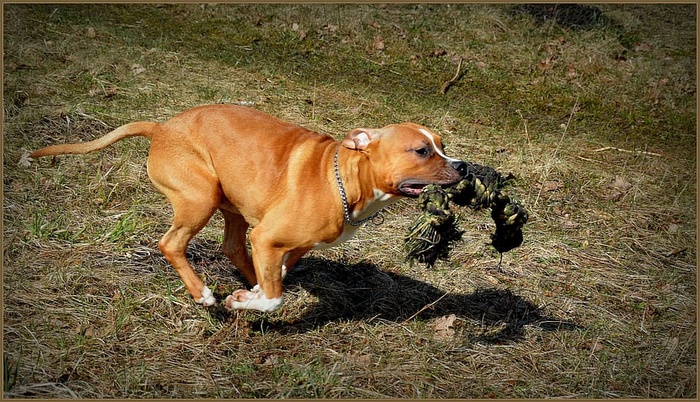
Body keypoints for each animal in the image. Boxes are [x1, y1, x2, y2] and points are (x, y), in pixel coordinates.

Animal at [27, 105, 468, 312]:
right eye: (422, 151)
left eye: (442, 145)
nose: (463, 166)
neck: (343, 179)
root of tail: (161, 128)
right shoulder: (269, 237)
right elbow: (275, 296)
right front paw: (244, 302)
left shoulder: (288, 244)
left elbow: (278, 274)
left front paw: (251, 290)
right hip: (200, 198)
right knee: (172, 244)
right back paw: (204, 295)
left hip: (233, 206)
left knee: (232, 246)